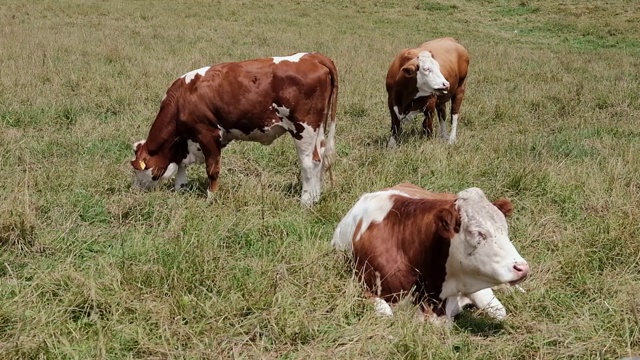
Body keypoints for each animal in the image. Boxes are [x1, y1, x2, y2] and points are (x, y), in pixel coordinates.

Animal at [131, 51, 340, 205]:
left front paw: (211, 198)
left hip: (303, 127)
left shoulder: (207, 133)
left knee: (309, 162)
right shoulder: (189, 140)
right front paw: (179, 189)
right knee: (320, 158)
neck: (182, 98)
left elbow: (212, 169)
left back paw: (305, 202)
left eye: (136, 169)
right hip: (318, 129)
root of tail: (312, 56)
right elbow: (182, 166)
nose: (135, 190)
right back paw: (315, 197)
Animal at [332, 184, 528, 322]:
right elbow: (385, 312)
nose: (522, 268)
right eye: (476, 232)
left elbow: (499, 311)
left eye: (505, 229)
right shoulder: (362, 287)